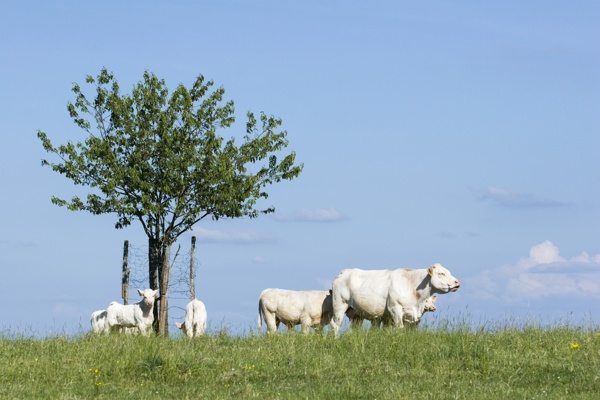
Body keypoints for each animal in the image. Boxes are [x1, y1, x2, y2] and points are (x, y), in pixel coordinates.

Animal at [330, 262, 462, 334]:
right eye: (441, 273)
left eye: (448, 272)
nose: (457, 282)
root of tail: (345, 271)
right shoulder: (395, 309)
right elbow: (400, 328)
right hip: (339, 305)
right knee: (336, 325)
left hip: (357, 314)